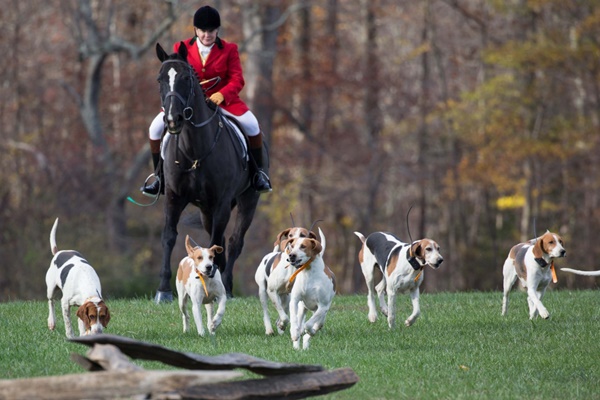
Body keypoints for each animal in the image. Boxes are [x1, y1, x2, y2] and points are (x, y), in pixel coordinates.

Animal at [152, 42, 260, 302]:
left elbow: (217, 242)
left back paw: (227, 284)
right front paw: (163, 290)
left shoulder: (222, 201)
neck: (194, 150)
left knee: (234, 241)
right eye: (160, 79)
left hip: (248, 199)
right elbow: (169, 236)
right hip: (205, 210)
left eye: (186, 78)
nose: (173, 119)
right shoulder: (173, 197)